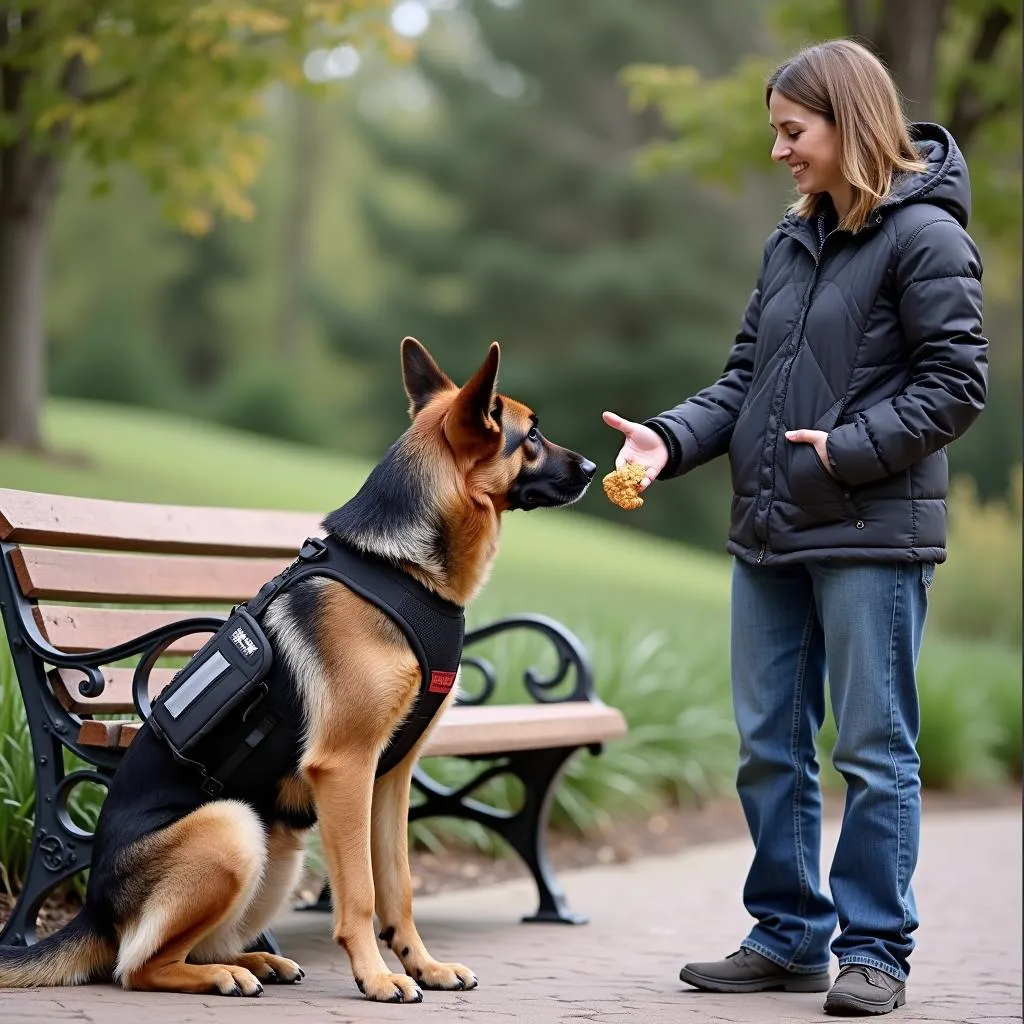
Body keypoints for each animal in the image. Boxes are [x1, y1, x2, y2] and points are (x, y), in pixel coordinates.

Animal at [0, 339, 598, 1003]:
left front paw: (423, 965)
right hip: (234, 829)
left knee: (185, 946)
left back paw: (254, 960)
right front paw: (377, 977)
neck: (398, 568)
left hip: (279, 846)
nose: (596, 466)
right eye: (532, 435)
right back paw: (223, 974)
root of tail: (96, 909)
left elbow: (399, 887)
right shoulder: (346, 769)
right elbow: (361, 893)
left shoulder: (391, 778)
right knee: (138, 966)